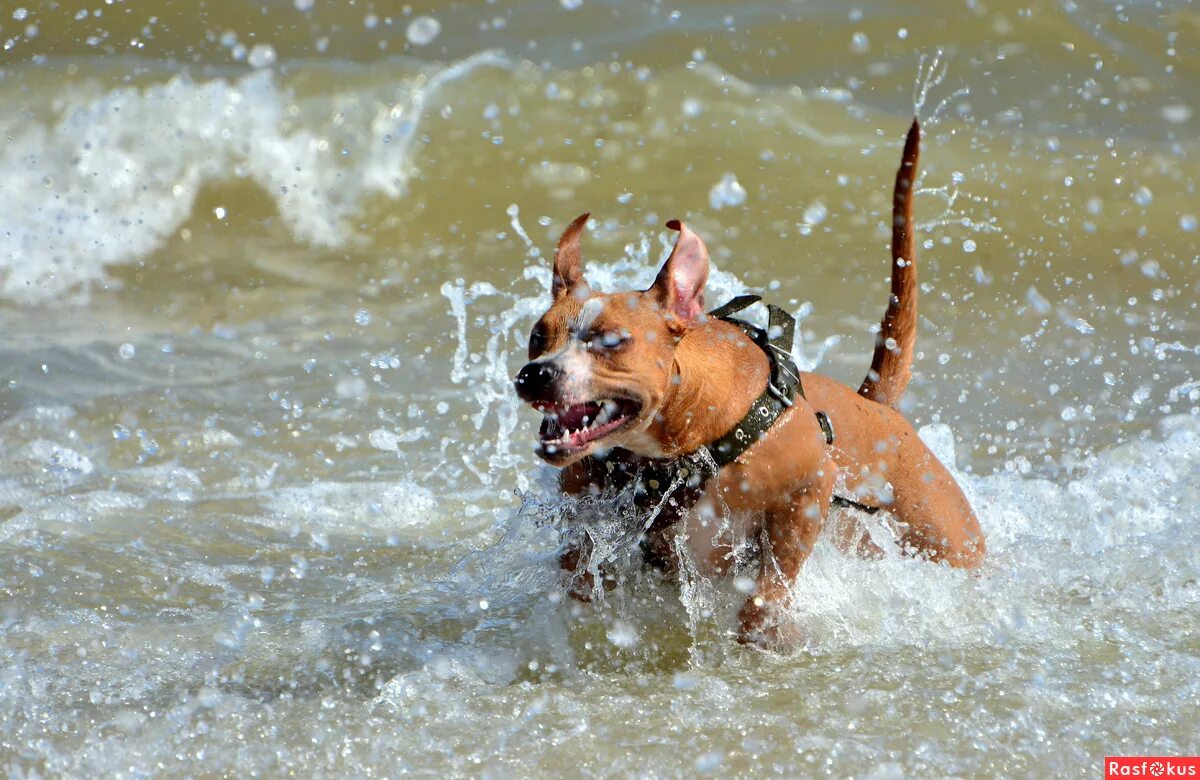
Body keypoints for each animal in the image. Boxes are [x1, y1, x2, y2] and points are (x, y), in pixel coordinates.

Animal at [516, 120, 984, 643]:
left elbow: (767, 592)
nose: (534, 373)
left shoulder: (808, 489)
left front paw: (764, 631)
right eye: (538, 336)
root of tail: (880, 407)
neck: (685, 442)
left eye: (612, 341)